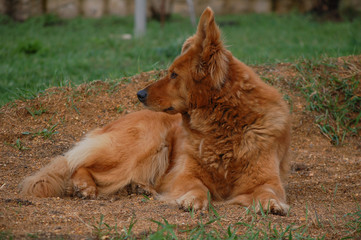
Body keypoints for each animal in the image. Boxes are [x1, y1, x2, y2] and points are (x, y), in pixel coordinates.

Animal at [20, 7, 290, 215]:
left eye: (173, 75)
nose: (139, 94)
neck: (223, 125)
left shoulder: (268, 178)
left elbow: (268, 190)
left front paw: (272, 203)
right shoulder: (185, 174)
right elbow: (197, 186)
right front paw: (192, 199)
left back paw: (140, 188)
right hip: (146, 143)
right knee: (76, 164)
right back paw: (85, 186)